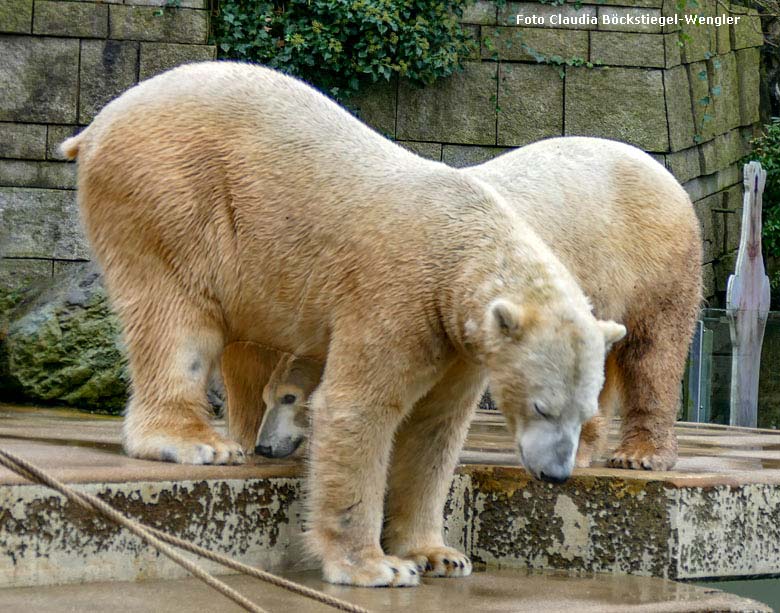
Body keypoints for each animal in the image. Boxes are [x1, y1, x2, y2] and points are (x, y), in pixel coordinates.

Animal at [61, 61, 624, 584]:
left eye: (583, 412)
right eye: (542, 406)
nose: (556, 474)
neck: (463, 240)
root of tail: (101, 121)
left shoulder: (461, 343)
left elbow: (435, 428)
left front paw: (440, 555)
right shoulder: (397, 294)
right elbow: (359, 408)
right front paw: (377, 567)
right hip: (170, 192)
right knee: (177, 316)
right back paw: (198, 442)